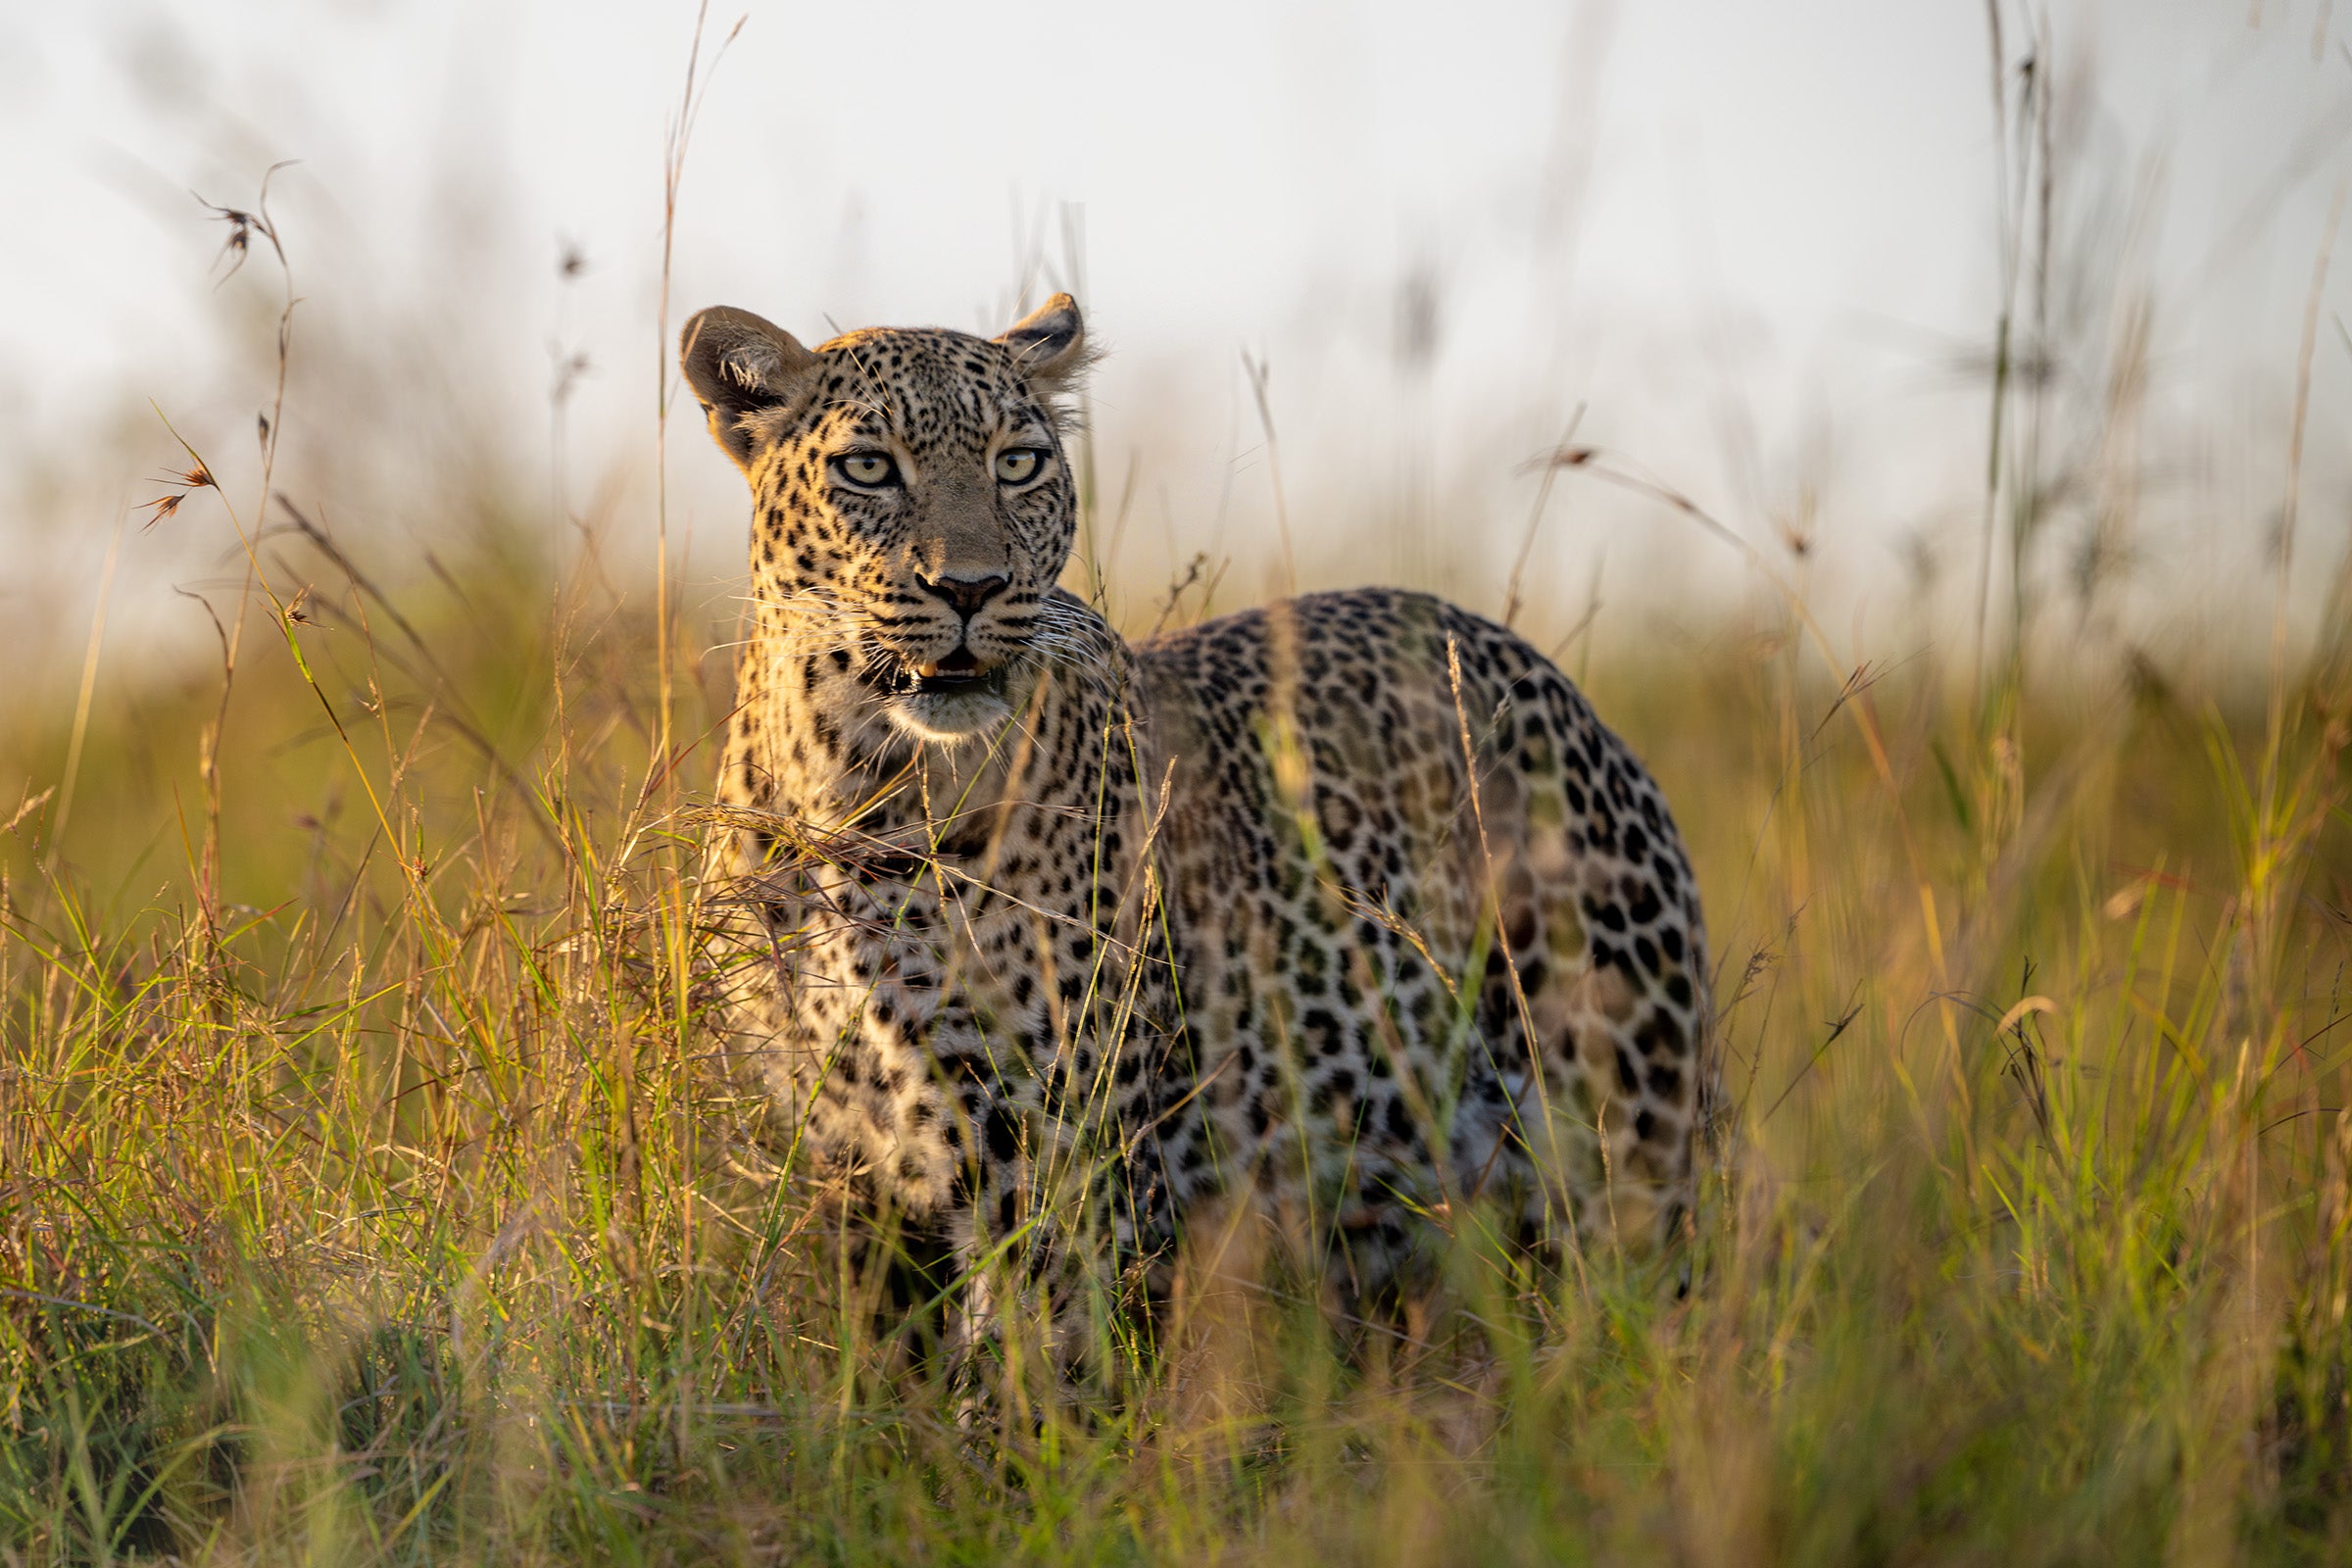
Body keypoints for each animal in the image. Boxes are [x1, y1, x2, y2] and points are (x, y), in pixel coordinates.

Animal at [681, 292, 1710, 1418]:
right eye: (868, 468)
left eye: (1017, 462)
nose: (971, 586)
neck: (858, 795)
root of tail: (1550, 680)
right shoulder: (837, 1154)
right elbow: (883, 1370)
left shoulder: (1053, 1148)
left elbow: (1028, 1377)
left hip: (1626, 1118)